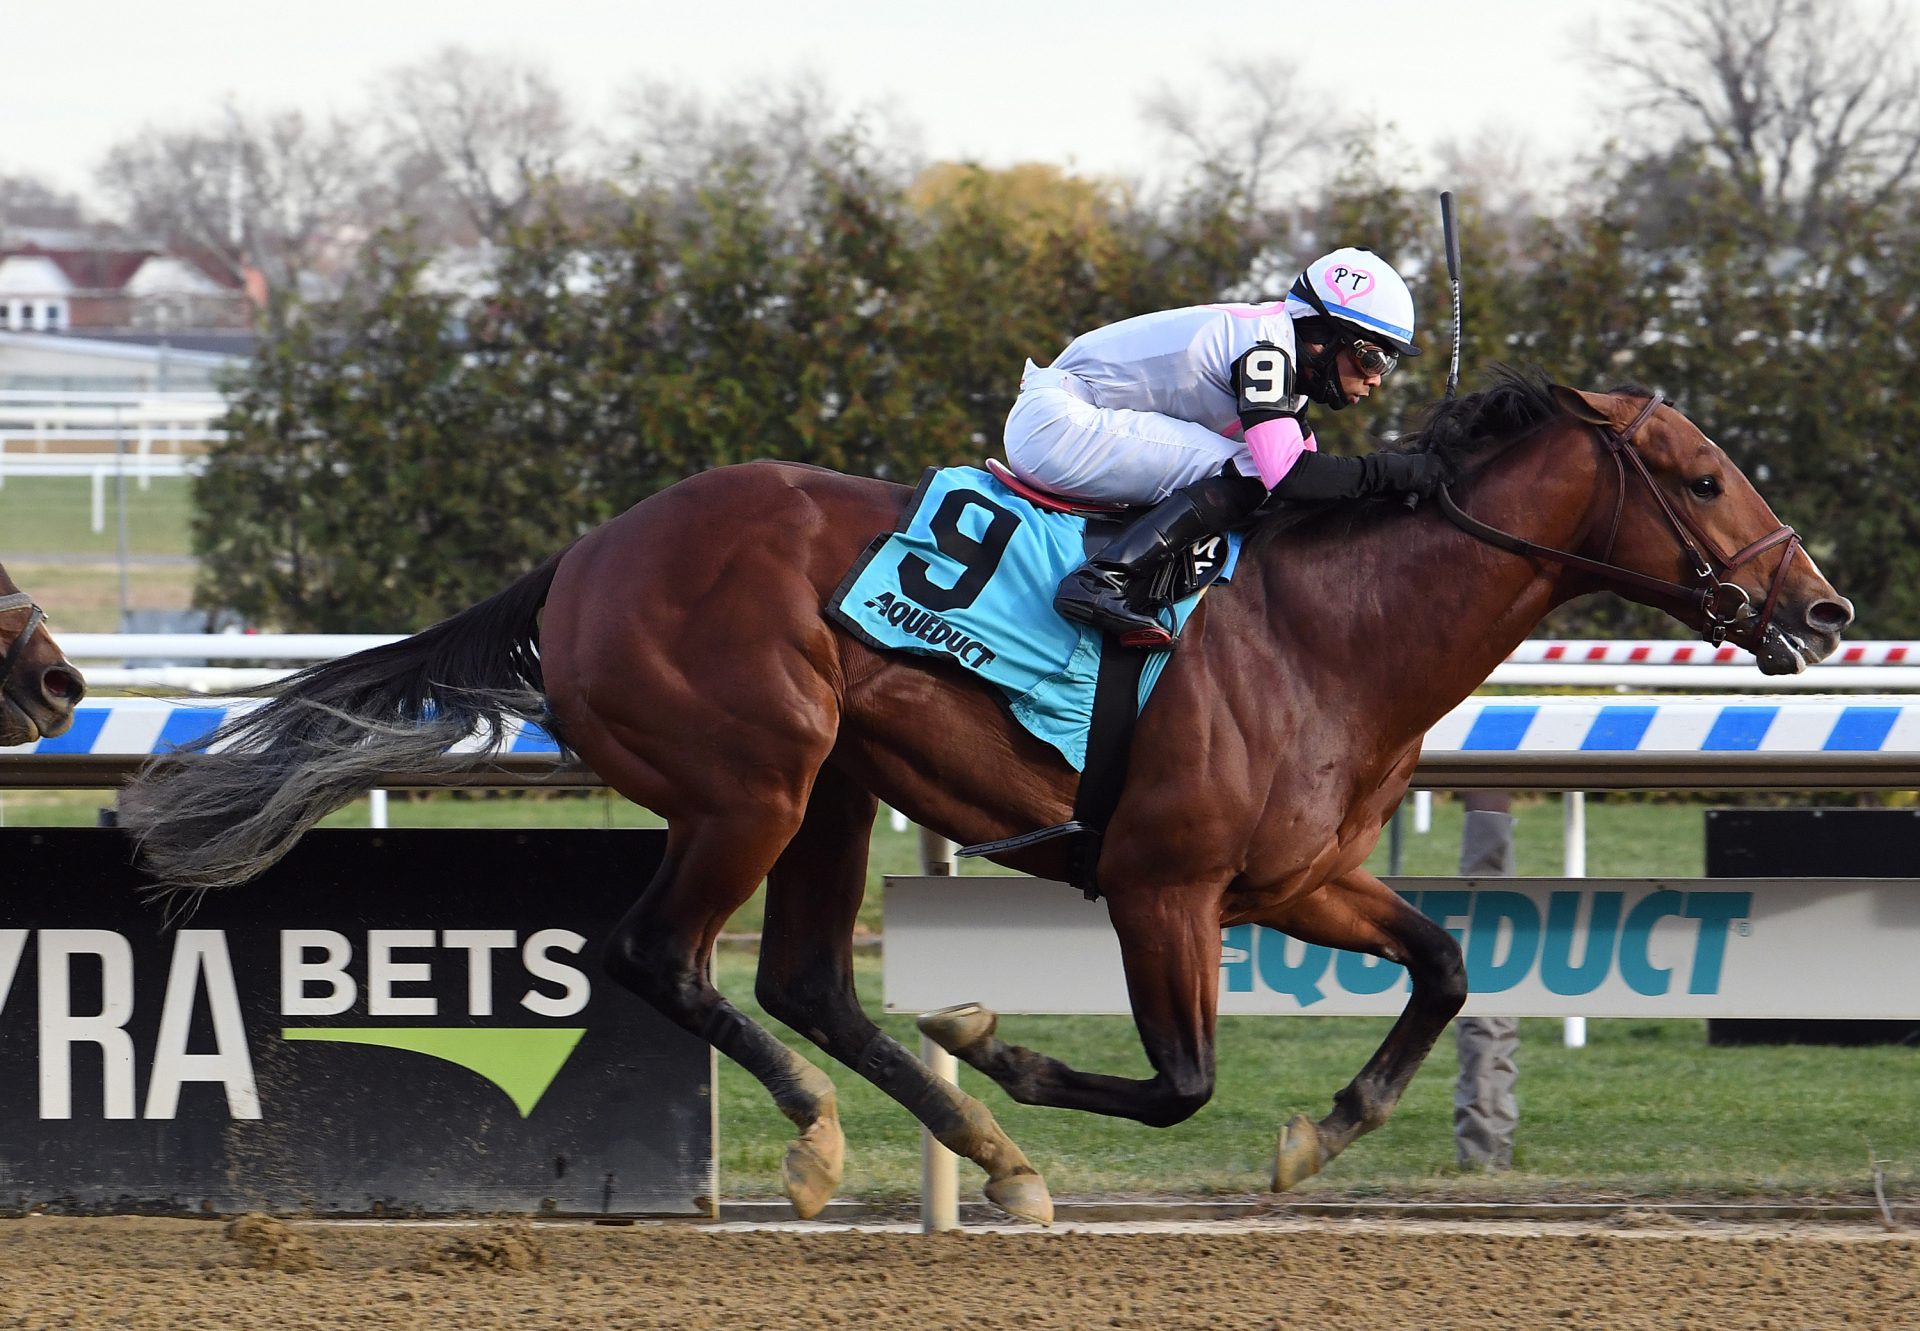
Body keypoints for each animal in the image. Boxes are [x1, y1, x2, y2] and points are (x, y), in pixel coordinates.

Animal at [116, 368, 1843, 1221]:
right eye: (1703, 476)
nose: (1820, 610)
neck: (1325, 625)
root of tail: (589, 553)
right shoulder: (1162, 881)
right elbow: (1180, 1079)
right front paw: (1003, 1043)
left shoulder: (1296, 878)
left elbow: (1444, 959)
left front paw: (1325, 1131)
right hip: (753, 776)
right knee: (661, 955)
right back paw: (833, 1136)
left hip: (828, 788)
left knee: (804, 976)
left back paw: (980, 1151)